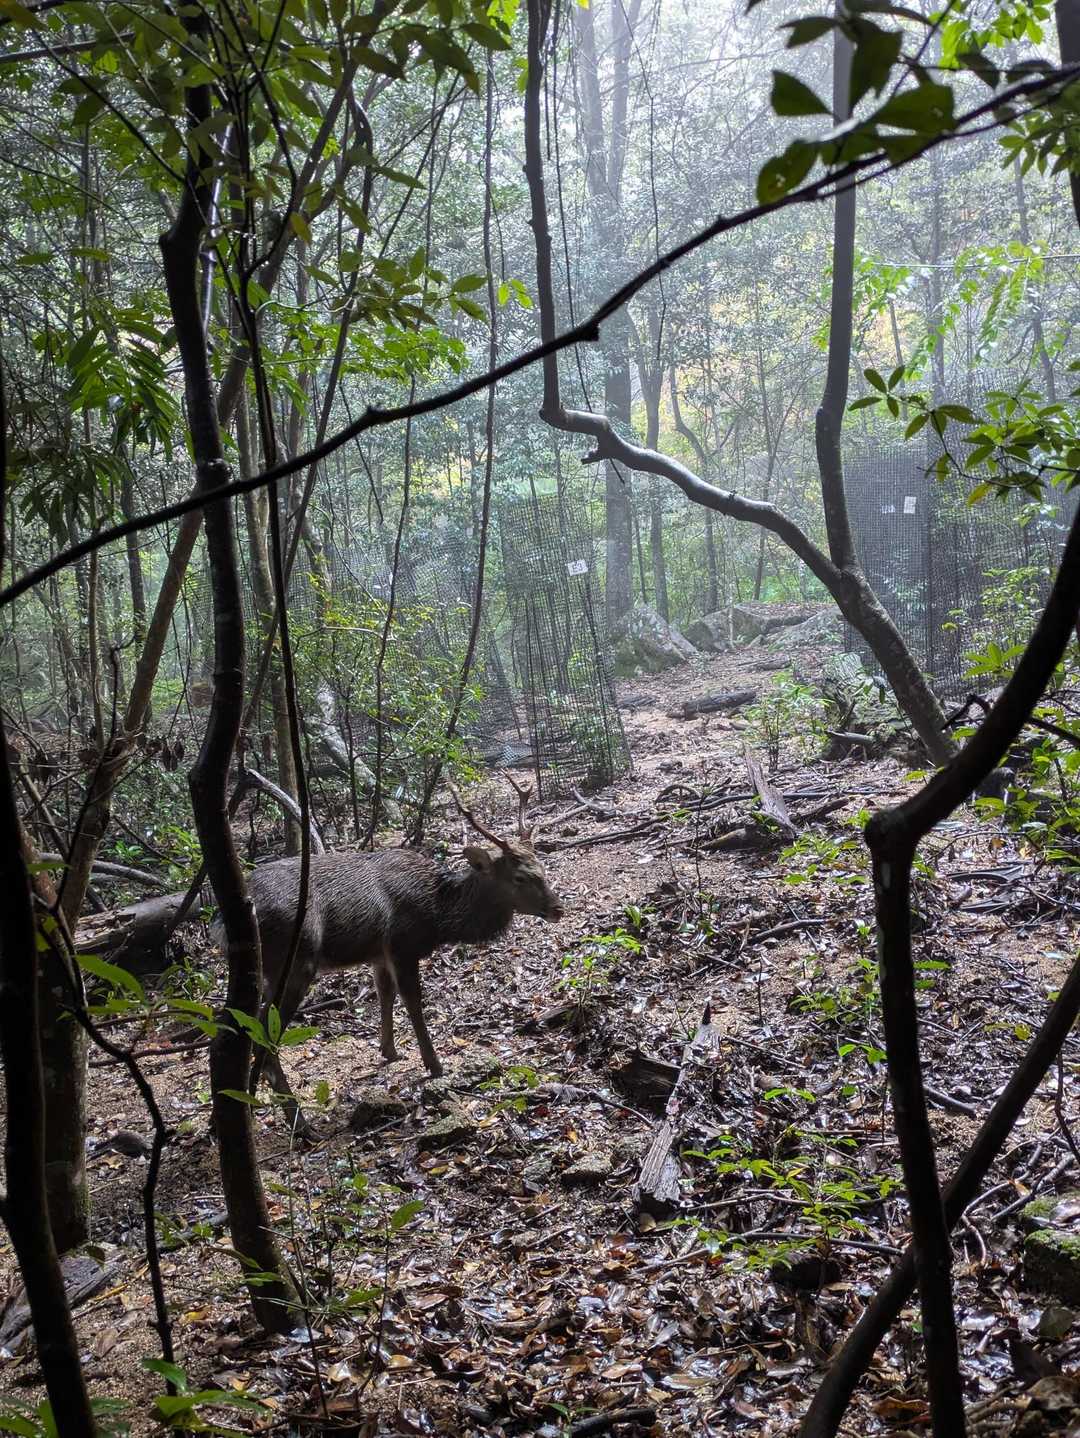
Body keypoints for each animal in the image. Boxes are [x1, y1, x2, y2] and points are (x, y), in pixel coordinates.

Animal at [239, 775, 562, 1138]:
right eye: (519, 877)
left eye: (542, 867)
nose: (557, 909)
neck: (438, 916)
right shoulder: (402, 945)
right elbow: (413, 1002)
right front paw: (435, 1065)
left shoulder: (379, 954)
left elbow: (385, 995)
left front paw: (390, 1051)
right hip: (295, 961)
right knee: (264, 1032)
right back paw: (301, 1124)